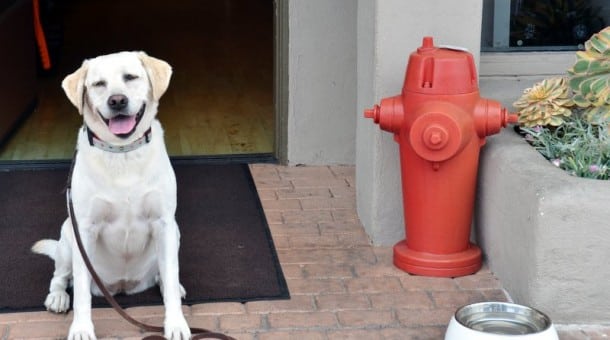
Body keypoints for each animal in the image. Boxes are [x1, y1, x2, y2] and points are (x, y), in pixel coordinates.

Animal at [32, 51, 190, 340]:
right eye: (99, 84)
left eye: (130, 77)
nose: (117, 100)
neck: (122, 151)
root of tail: (121, 286)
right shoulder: (84, 229)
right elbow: (81, 292)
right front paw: (81, 328)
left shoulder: (163, 223)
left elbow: (171, 280)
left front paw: (176, 324)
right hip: (67, 236)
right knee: (60, 277)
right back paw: (58, 297)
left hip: (175, 232)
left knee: (165, 275)